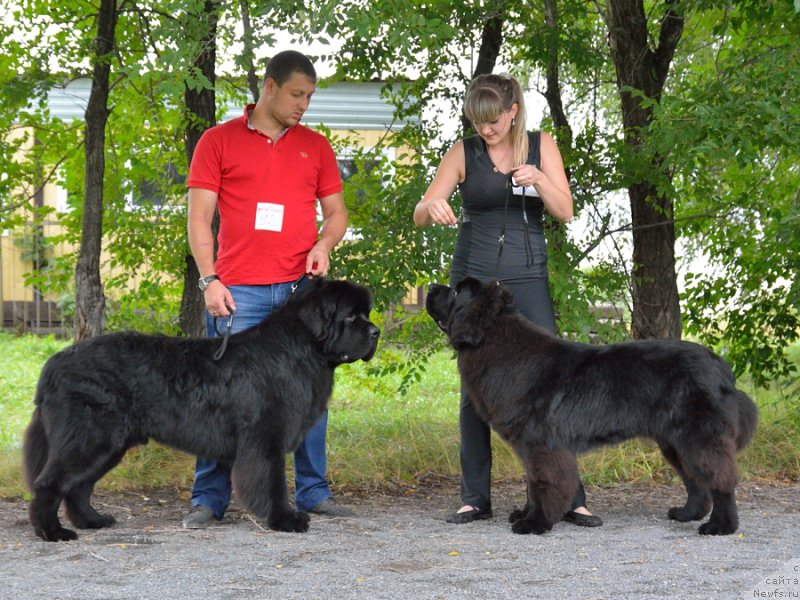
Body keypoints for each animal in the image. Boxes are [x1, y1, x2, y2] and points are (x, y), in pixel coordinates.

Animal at [21, 278, 378, 540]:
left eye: (366, 314)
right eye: (350, 317)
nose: (375, 332)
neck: (299, 348)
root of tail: (54, 363)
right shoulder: (265, 439)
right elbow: (272, 482)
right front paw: (284, 519)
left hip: (108, 444)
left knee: (79, 486)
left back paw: (92, 520)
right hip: (91, 437)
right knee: (50, 483)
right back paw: (53, 532)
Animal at [424, 276, 756, 536]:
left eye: (455, 291)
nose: (429, 286)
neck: (495, 338)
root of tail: (720, 366)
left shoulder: (541, 443)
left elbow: (543, 482)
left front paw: (536, 522)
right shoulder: (532, 446)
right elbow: (533, 482)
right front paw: (527, 514)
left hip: (698, 436)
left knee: (719, 477)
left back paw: (720, 526)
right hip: (675, 440)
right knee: (695, 478)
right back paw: (687, 514)